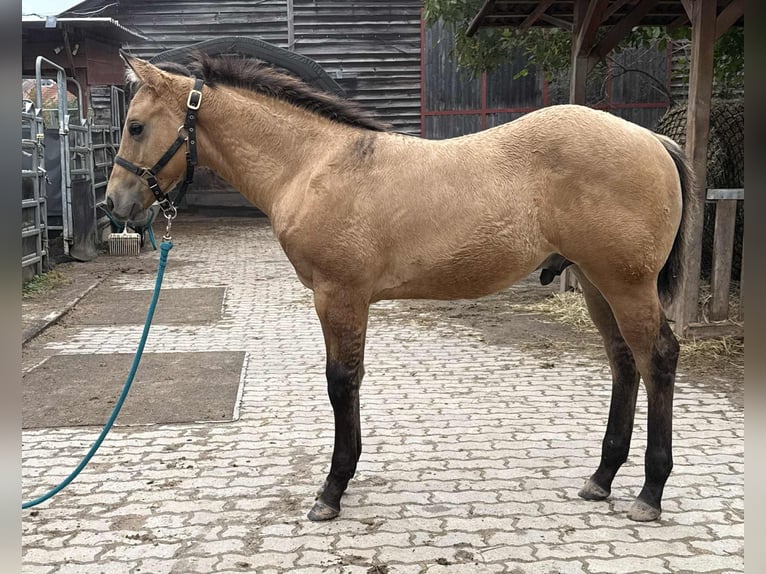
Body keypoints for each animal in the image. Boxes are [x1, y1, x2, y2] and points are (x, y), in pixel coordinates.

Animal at [106, 52, 693, 523]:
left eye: (135, 126)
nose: (115, 205)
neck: (313, 164)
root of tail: (653, 138)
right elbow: (353, 380)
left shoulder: (337, 294)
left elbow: (340, 382)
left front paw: (332, 490)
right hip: (597, 284)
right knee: (624, 362)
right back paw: (601, 479)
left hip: (626, 283)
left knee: (658, 358)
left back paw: (650, 492)